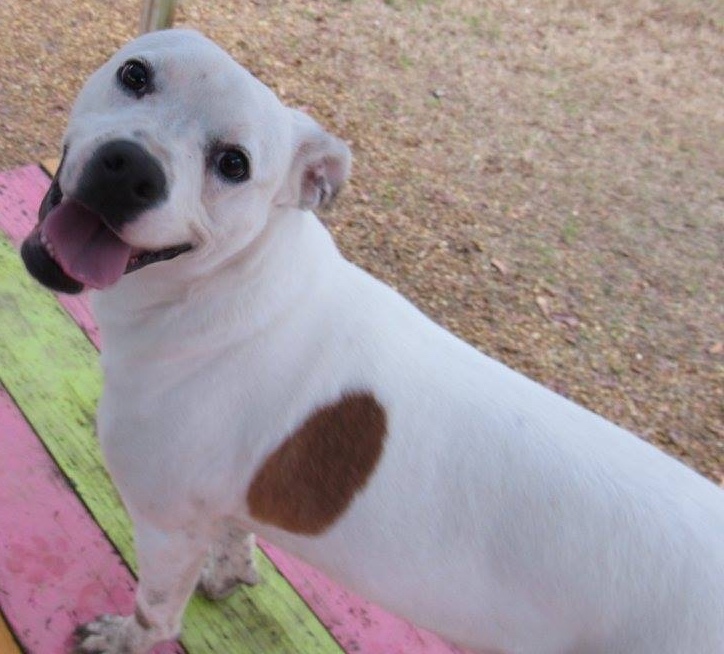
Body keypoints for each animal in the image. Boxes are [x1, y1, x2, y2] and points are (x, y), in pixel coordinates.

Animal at [22, 29, 724, 654]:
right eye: (135, 74)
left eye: (234, 164)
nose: (130, 170)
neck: (227, 288)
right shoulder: (220, 501)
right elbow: (235, 535)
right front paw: (233, 571)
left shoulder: (165, 524)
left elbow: (157, 614)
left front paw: (123, 638)